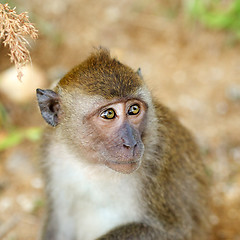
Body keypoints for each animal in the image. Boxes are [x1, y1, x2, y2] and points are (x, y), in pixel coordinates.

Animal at [36, 48, 209, 240]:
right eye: (109, 114)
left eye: (134, 109)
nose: (131, 143)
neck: (95, 167)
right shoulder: (54, 153)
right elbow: (60, 225)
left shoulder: (159, 159)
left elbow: (174, 231)